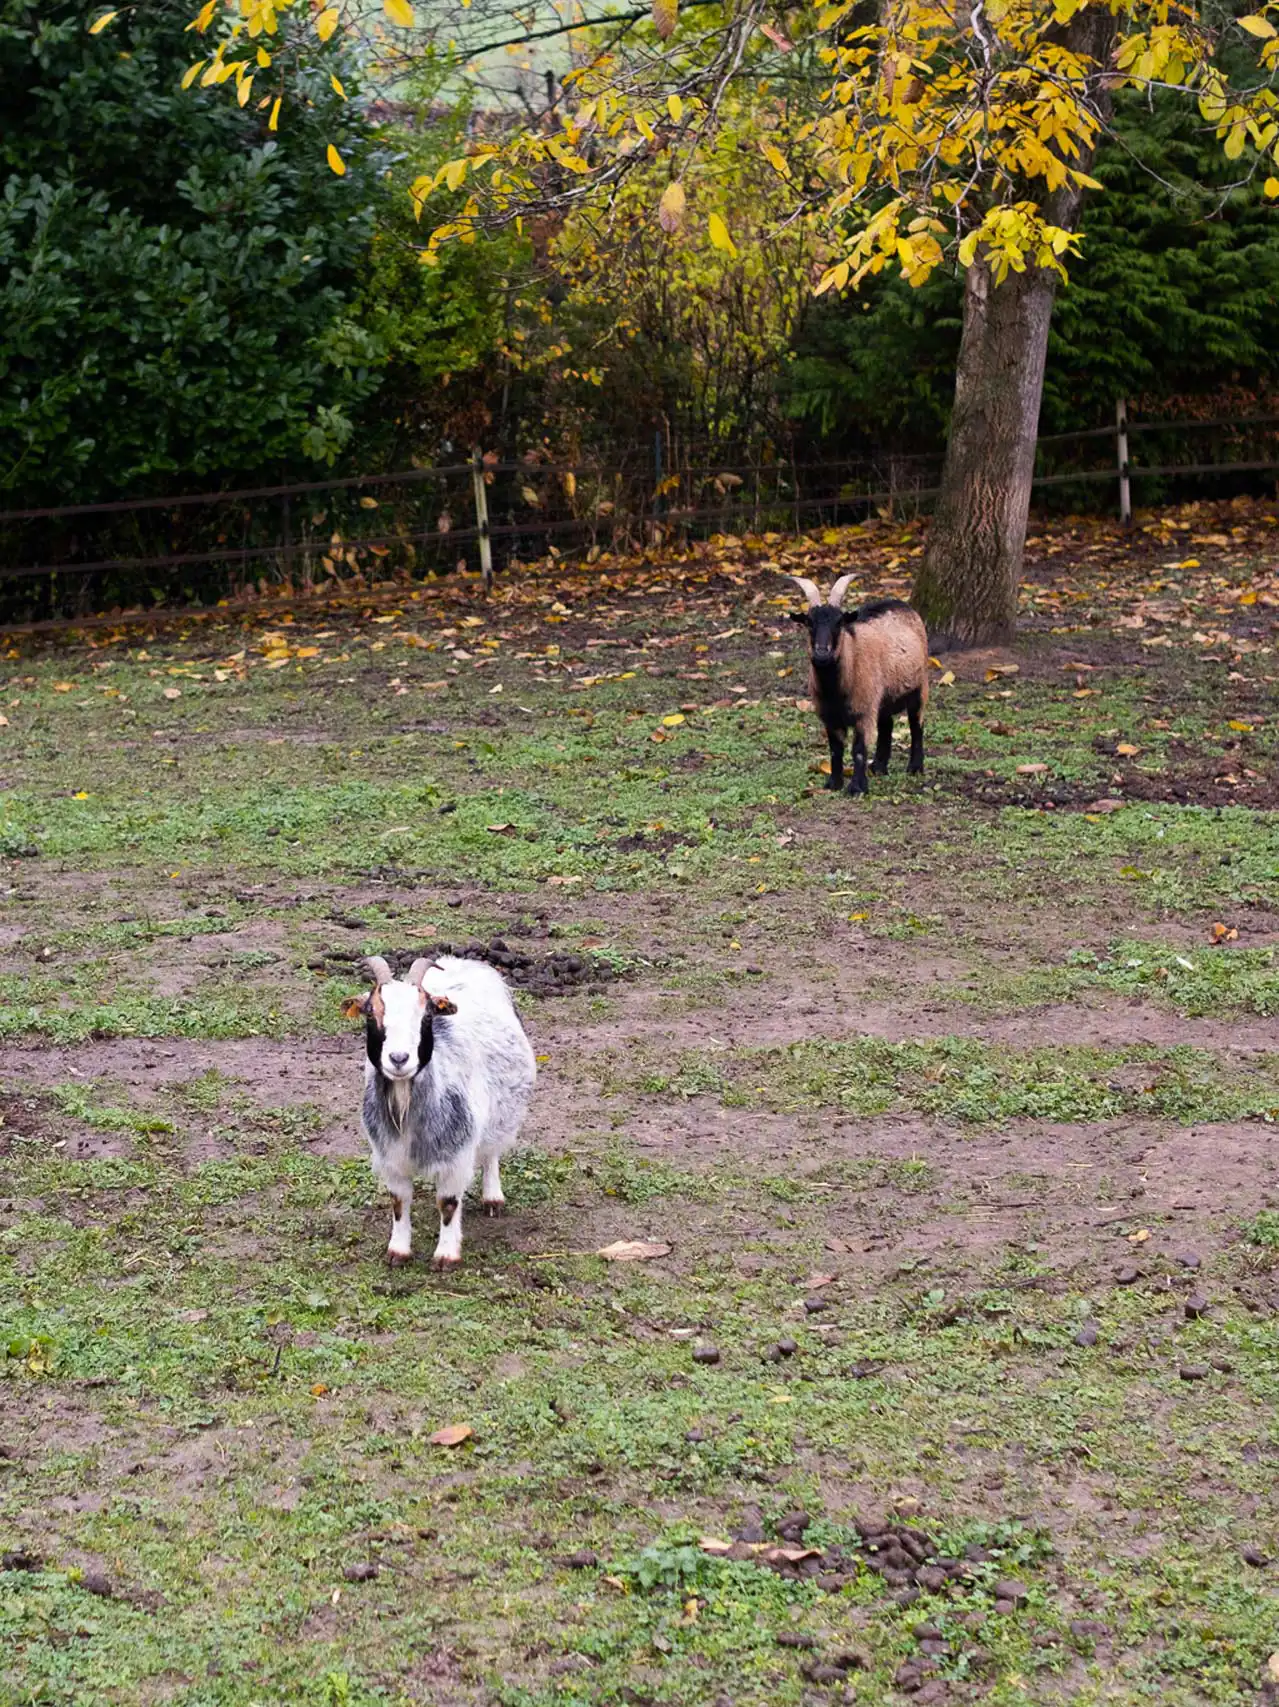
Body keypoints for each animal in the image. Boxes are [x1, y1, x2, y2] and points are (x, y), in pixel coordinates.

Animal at [354, 953, 536, 1270]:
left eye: (427, 1016)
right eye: (370, 1014)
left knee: (491, 1152)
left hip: (502, 1113)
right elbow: (399, 1202)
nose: (399, 1059)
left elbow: (449, 1203)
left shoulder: (457, 1154)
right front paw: (398, 1251)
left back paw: (493, 1198)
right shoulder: (390, 1156)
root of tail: (460, 961)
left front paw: (446, 1255)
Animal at [787, 574, 929, 795]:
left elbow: (859, 750)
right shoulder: (830, 716)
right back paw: (878, 767)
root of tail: (900, 603)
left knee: (916, 724)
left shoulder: (864, 712)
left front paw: (856, 788)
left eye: (839, 623)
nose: (821, 653)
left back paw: (914, 767)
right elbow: (835, 749)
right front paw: (834, 783)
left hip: (919, 686)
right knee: (887, 724)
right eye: (809, 623)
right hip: (882, 698)